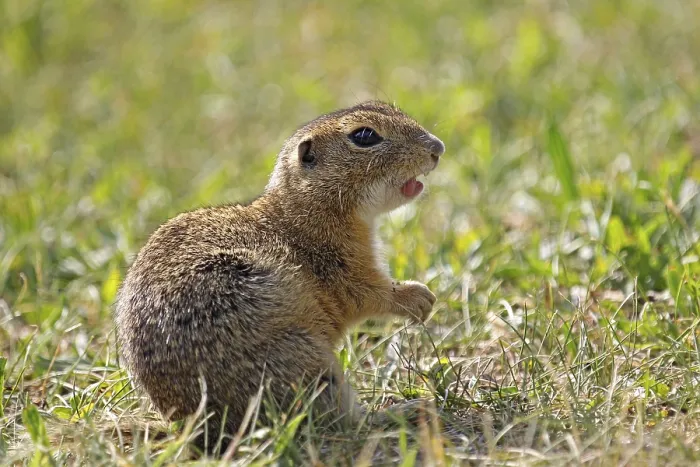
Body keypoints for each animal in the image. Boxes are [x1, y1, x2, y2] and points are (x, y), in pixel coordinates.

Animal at [114, 100, 445, 451]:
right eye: (365, 136)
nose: (437, 147)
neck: (302, 211)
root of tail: (195, 431)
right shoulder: (345, 269)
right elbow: (372, 294)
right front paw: (419, 297)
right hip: (306, 362)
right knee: (345, 423)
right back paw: (406, 410)